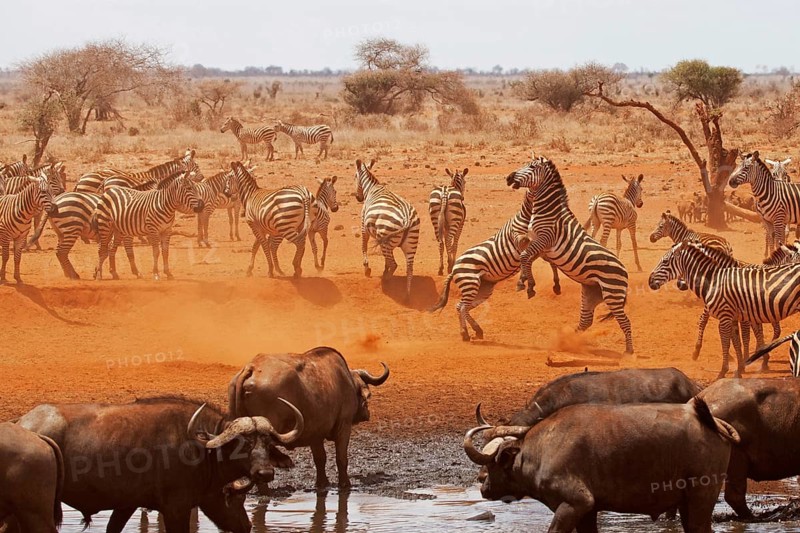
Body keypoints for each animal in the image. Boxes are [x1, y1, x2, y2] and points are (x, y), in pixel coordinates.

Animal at [354, 159, 420, 300]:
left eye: (355, 177)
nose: (358, 198)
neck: (372, 188)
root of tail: (407, 218)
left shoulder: (363, 226)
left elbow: (364, 246)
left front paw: (367, 268)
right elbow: (386, 262)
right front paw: (383, 270)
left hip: (386, 239)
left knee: (394, 264)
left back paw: (386, 280)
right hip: (410, 244)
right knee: (409, 269)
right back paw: (407, 295)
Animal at [429, 188, 561, 341]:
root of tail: (454, 270)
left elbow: (550, 261)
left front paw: (556, 285)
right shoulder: (519, 240)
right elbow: (528, 254)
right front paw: (525, 281)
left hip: (482, 289)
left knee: (461, 306)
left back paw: (476, 330)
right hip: (470, 283)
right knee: (462, 307)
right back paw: (465, 333)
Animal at [507, 155, 634, 355]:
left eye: (532, 167)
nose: (509, 177)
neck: (548, 212)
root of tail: (625, 271)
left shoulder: (545, 239)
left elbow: (525, 256)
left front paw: (529, 285)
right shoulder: (541, 246)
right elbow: (527, 257)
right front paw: (524, 280)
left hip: (612, 294)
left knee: (625, 321)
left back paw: (629, 352)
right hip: (591, 292)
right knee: (586, 321)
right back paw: (568, 341)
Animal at [649, 240, 800, 379]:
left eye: (665, 261)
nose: (650, 281)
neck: (714, 280)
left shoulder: (726, 317)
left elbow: (727, 342)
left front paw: (723, 371)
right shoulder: (735, 317)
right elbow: (738, 341)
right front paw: (740, 368)